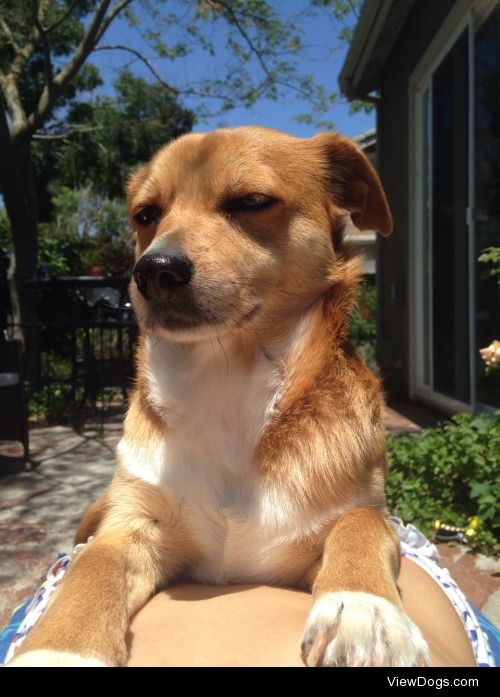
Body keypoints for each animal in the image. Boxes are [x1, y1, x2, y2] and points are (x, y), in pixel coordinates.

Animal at [7, 128, 430, 668]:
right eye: (146, 214)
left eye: (251, 201)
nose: (154, 270)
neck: (225, 376)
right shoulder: (132, 525)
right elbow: (92, 572)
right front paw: (59, 651)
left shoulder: (363, 511)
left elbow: (362, 525)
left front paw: (364, 608)